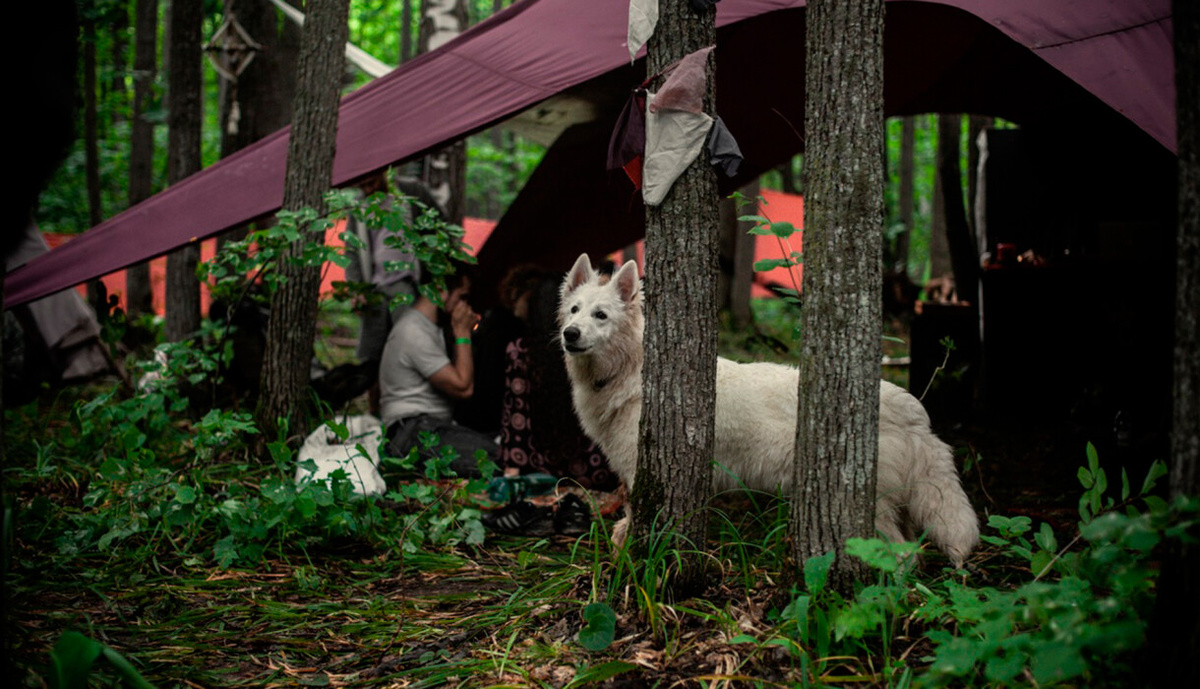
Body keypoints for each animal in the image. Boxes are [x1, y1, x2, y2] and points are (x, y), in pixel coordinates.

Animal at [556, 254, 979, 566]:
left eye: (601, 315)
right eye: (574, 310)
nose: (569, 334)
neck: (629, 370)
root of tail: (911, 409)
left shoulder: (638, 470)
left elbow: (631, 515)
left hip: (872, 510)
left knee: (902, 556)